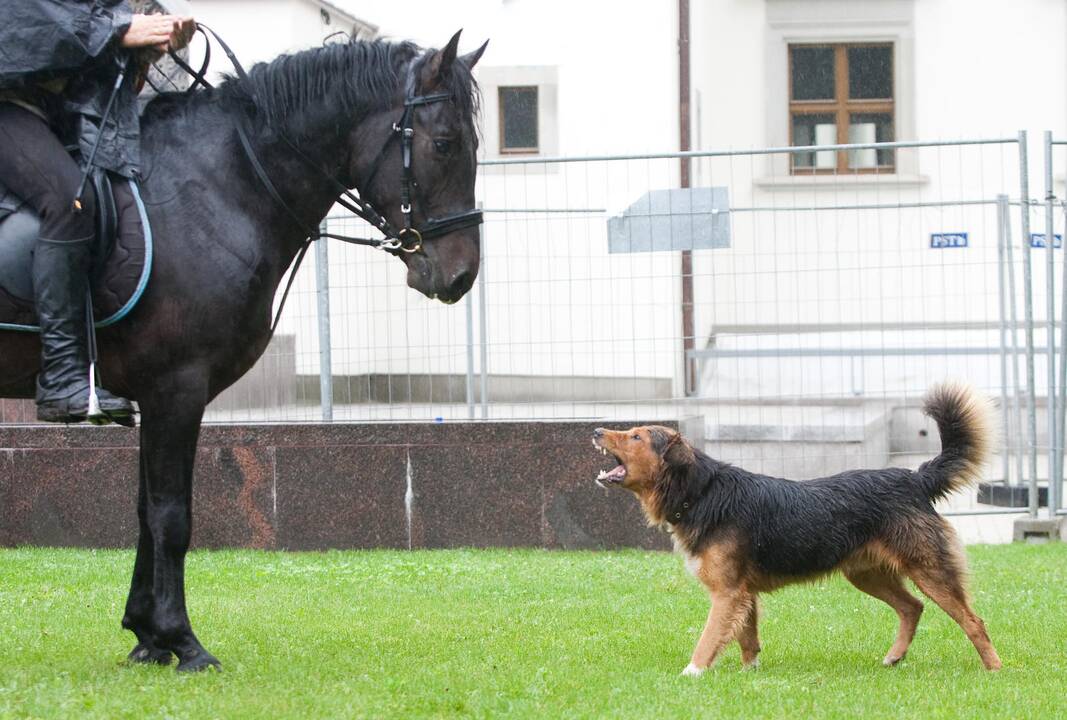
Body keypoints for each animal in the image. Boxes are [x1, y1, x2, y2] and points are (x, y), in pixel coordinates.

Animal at [0, 30, 488, 674]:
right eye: (444, 143)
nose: (460, 275)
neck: (217, 187)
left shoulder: (153, 395)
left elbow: (145, 512)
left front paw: (145, 635)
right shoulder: (176, 387)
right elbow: (171, 516)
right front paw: (181, 640)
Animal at [593, 384, 998, 674]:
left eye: (636, 437)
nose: (596, 429)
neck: (703, 493)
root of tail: (915, 478)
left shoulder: (726, 593)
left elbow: (708, 638)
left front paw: (691, 673)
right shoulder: (742, 593)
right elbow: (747, 639)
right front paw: (749, 675)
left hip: (929, 570)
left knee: (973, 621)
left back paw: (994, 669)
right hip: (865, 573)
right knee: (912, 607)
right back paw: (894, 657)